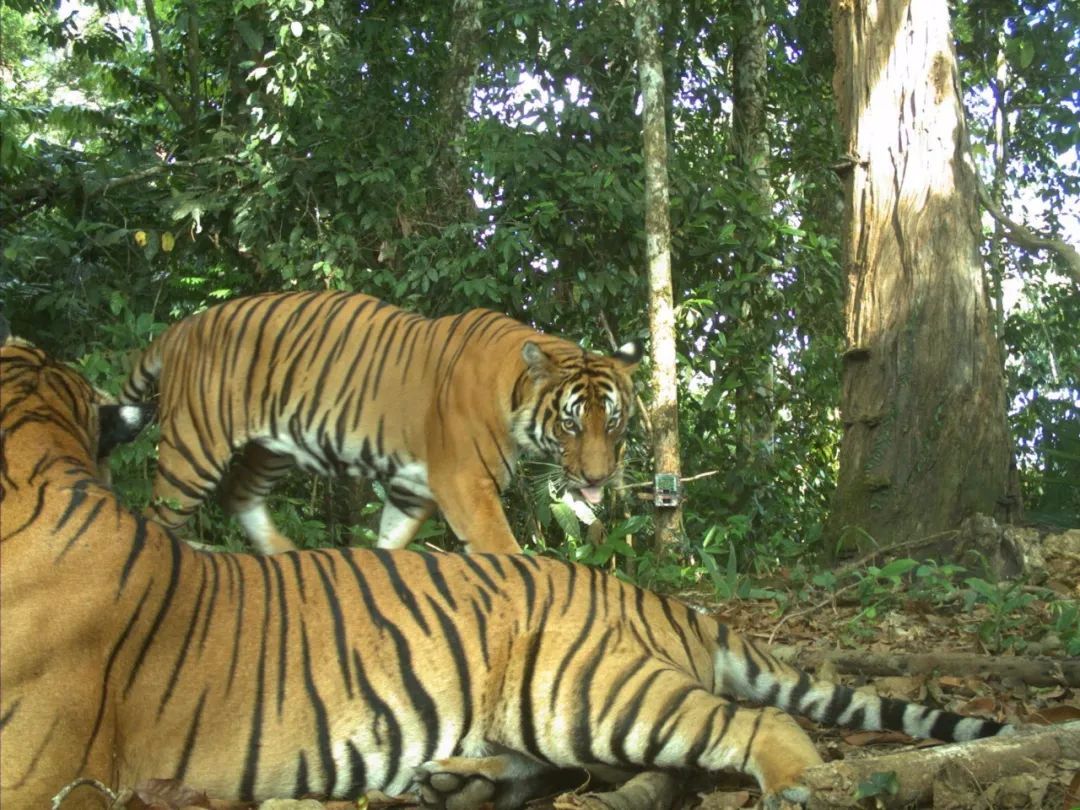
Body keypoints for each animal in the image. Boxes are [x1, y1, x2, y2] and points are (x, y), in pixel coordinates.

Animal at [120, 291, 639, 557]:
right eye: (571, 426)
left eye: (613, 423)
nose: (598, 478)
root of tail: (183, 326)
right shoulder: (464, 484)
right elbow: (504, 551)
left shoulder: (413, 489)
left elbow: (390, 541)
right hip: (193, 453)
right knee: (158, 519)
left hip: (272, 449)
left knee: (239, 495)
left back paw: (283, 552)